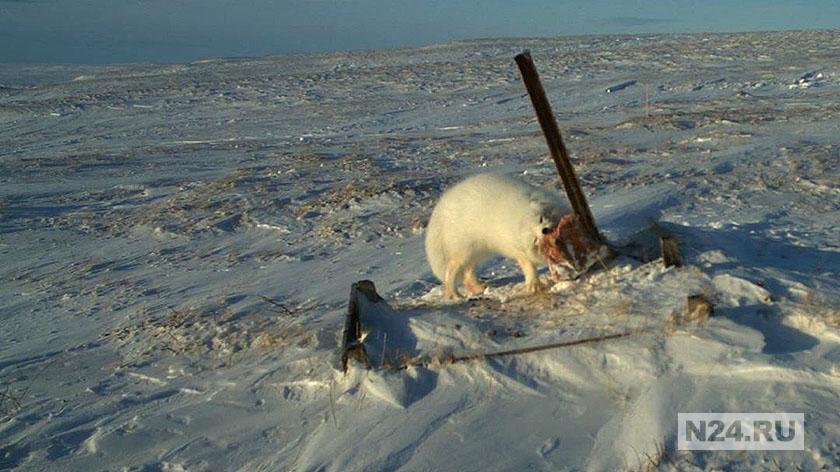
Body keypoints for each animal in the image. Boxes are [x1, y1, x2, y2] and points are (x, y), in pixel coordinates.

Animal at [424, 172, 576, 298]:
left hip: (476, 251)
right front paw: (534, 286)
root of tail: (441, 207)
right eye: (534, 239)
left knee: (468, 274)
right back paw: (454, 294)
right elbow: (529, 267)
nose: (544, 230)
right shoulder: (519, 251)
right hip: (464, 250)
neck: (519, 215)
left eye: (541, 218)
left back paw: (478, 288)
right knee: (451, 270)